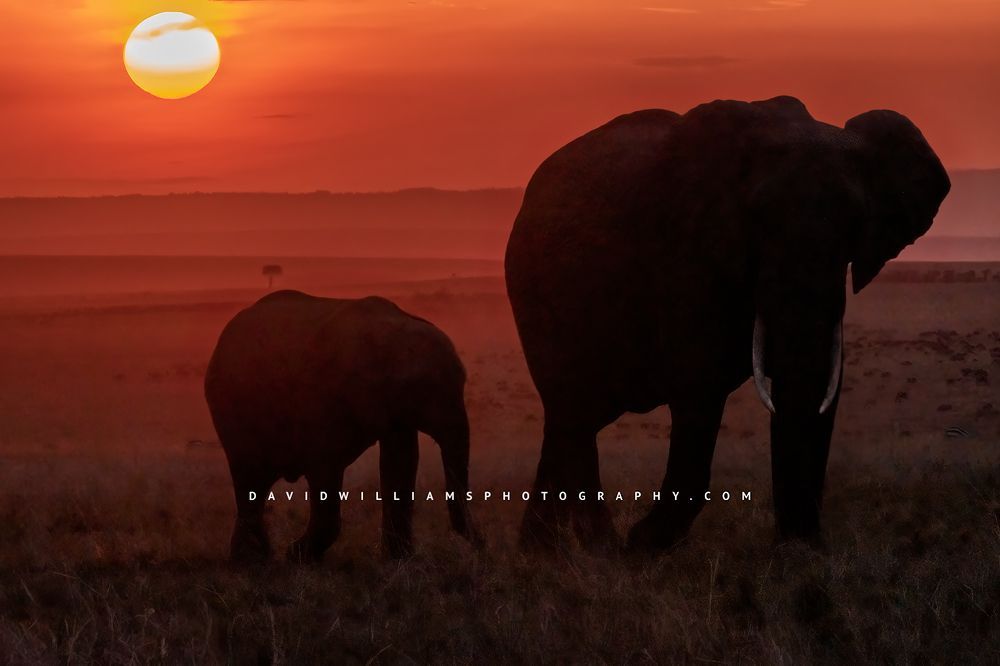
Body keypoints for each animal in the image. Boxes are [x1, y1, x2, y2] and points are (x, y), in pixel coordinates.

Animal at [205, 290, 480, 562]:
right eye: (425, 391)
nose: (480, 545)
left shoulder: (393, 412)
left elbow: (400, 462)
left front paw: (400, 559)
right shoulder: (321, 396)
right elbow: (324, 465)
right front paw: (295, 555)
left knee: (257, 481)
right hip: (231, 408)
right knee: (249, 475)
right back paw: (251, 559)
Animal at [504, 95, 949, 552]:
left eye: (857, 225)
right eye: (757, 219)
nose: (798, 545)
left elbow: (822, 387)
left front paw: (801, 553)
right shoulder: (686, 253)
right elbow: (698, 386)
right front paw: (640, 546)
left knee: (574, 417)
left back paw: (546, 548)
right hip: (535, 291)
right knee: (572, 410)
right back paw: (593, 547)